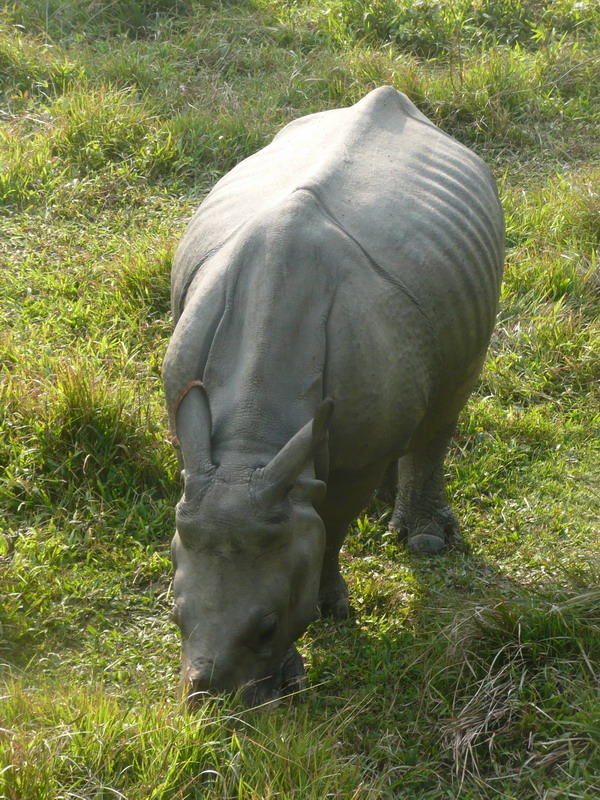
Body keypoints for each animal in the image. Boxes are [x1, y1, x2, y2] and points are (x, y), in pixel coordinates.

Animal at [163, 86, 504, 707]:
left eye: (268, 624)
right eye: (175, 616)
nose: (210, 702)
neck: (251, 450)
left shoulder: (343, 468)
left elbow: (332, 529)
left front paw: (327, 613)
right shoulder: (196, 443)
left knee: (447, 400)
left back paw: (424, 541)